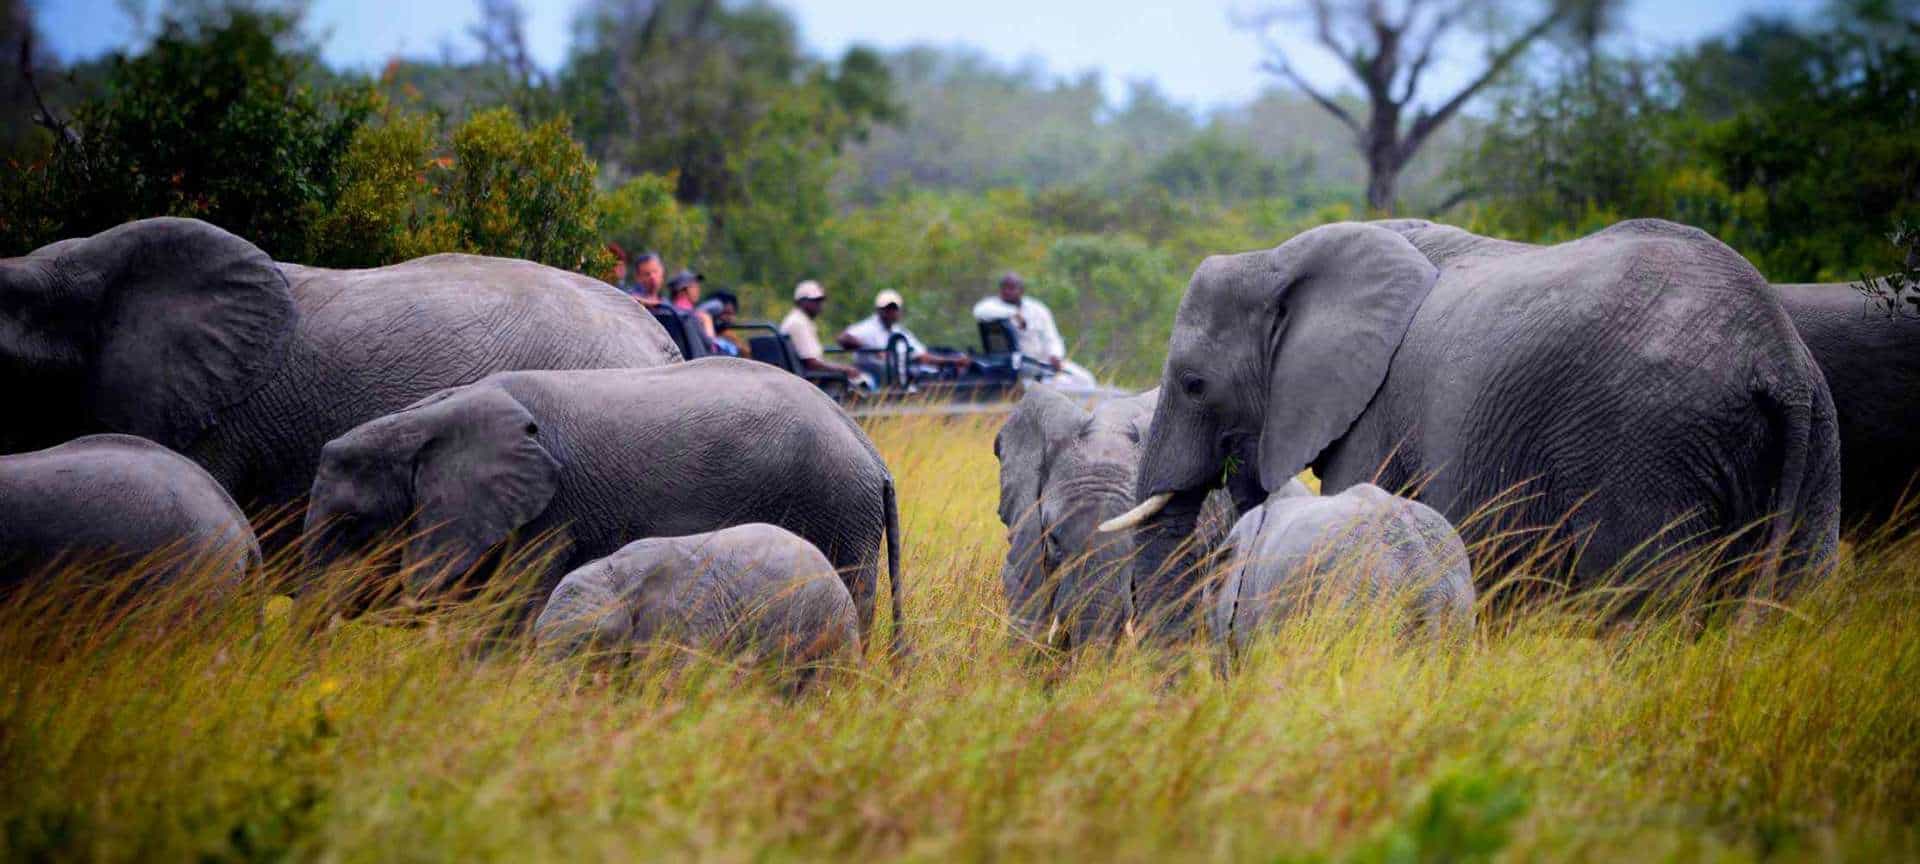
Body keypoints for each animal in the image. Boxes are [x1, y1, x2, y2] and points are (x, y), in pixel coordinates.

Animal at [303, 357, 903, 645]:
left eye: (350, 523)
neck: (430, 415)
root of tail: (871, 452)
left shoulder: (550, 514)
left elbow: (511, 607)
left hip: (834, 507)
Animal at [1106, 219, 1840, 637]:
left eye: (1194, 383)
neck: (1281, 257)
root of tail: (1774, 354)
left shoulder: (1379, 404)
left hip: (1647, 439)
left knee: (1645, 599)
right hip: (1817, 438)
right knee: (1802, 589)